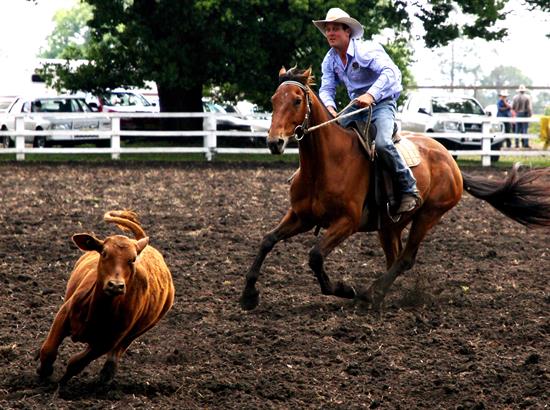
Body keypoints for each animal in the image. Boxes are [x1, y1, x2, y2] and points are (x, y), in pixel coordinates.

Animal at [37, 210, 175, 386]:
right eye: (104, 253)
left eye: (132, 259)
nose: (115, 285)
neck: (98, 310)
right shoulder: (63, 315)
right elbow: (48, 350)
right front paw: (43, 372)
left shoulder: (107, 341)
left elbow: (76, 363)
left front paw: (62, 383)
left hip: (136, 332)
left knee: (118, 351)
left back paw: (107, 374)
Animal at [244, 68, 550, 310]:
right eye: (273, 101)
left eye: (297, 100)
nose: (274, 142)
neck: (325, 164)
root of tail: (451, 161)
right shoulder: (301, 216)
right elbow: (267, 240)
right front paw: (248, 295)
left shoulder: (346, 222)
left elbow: (316, 256)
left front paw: (345, 290)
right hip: (390, 225)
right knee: (395, 257)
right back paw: (377, 293)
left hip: (428, 215)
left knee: (405, 259)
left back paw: (370, 294)